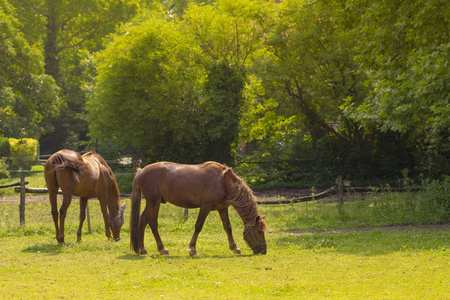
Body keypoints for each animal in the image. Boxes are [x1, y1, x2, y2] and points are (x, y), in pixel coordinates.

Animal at [128, 162, 266, 255]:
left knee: (142, 221)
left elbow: (228, 227)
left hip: (151, 203)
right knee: (153, 223)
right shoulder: (205, 207)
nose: (264, 250)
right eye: (259, 231)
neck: (223, 181)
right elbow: (198, 226)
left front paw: (235, 247)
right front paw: (193, 249)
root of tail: (141, 171)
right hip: (154, 202)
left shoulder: (222, 208)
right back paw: (163, 249)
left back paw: (142, 249)